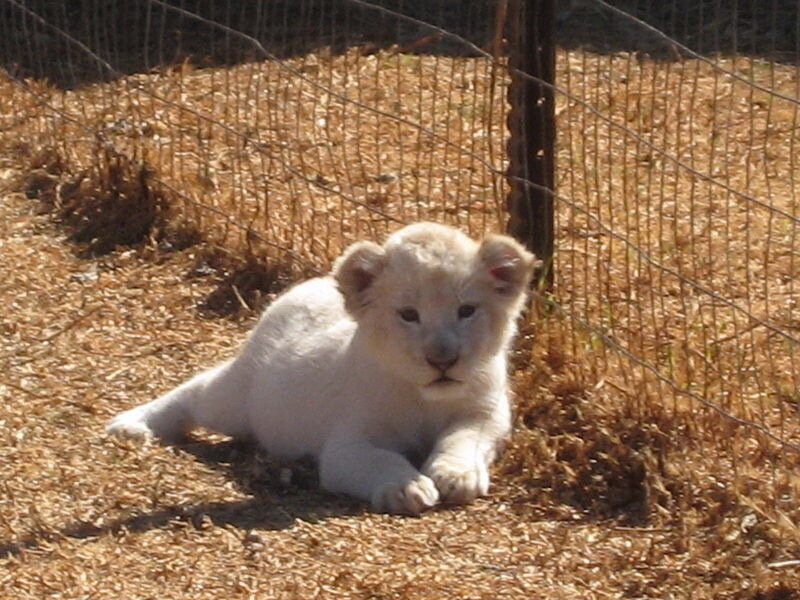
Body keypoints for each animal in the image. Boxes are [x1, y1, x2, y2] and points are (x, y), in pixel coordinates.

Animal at [107, 222, 536, 515]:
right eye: (408, 315)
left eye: (466, 311)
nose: (442, 359)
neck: (423, 398)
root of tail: (307, 285)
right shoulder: (346, 445)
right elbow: (379, 460)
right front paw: (406, 488)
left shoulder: (487, 411)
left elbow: (464, 438)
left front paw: (455, 475)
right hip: (238, 403)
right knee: (197, 392)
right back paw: (131, 424)